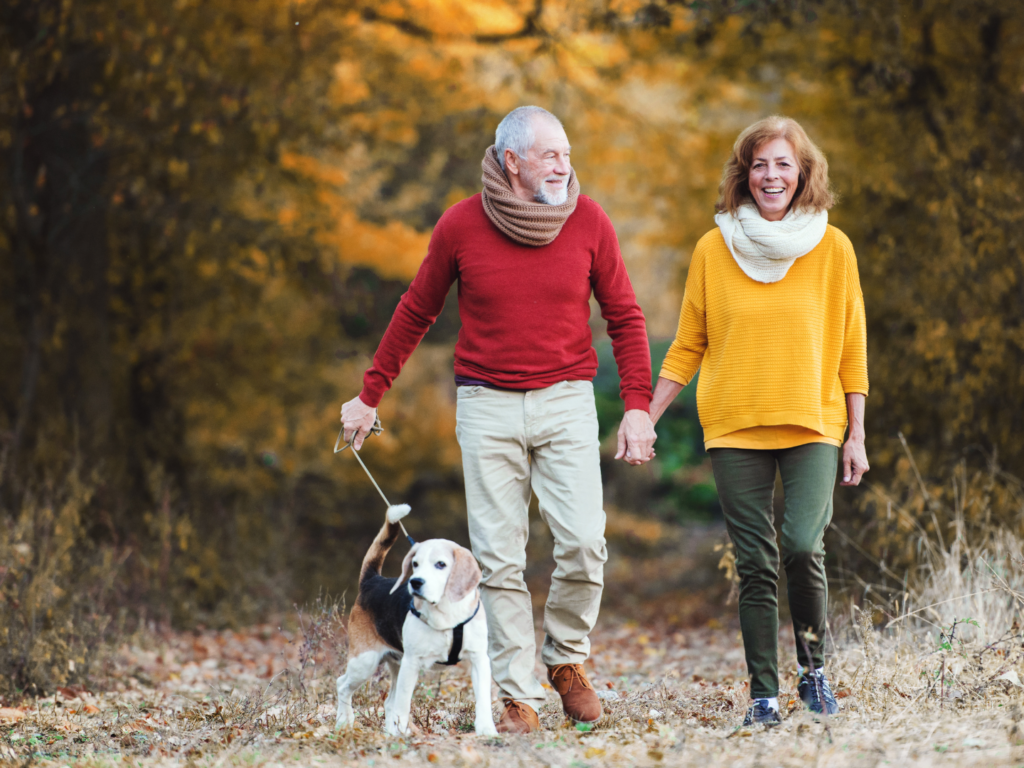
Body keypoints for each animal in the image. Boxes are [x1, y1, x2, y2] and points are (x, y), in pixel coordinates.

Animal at [335, 507, 495, 737]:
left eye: (441, 564)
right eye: (415, 564)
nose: (415, 582)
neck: (445, 612)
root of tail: (372, 580)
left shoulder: (479, 659)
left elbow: (483, 700)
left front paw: (487, 730)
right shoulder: (412, 662)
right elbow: (403, 705)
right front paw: (402, 732)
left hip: (395, 663)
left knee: (389, 702)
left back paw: (389, 733)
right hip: (365, 662)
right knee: (343, 685)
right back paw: (344, 723)